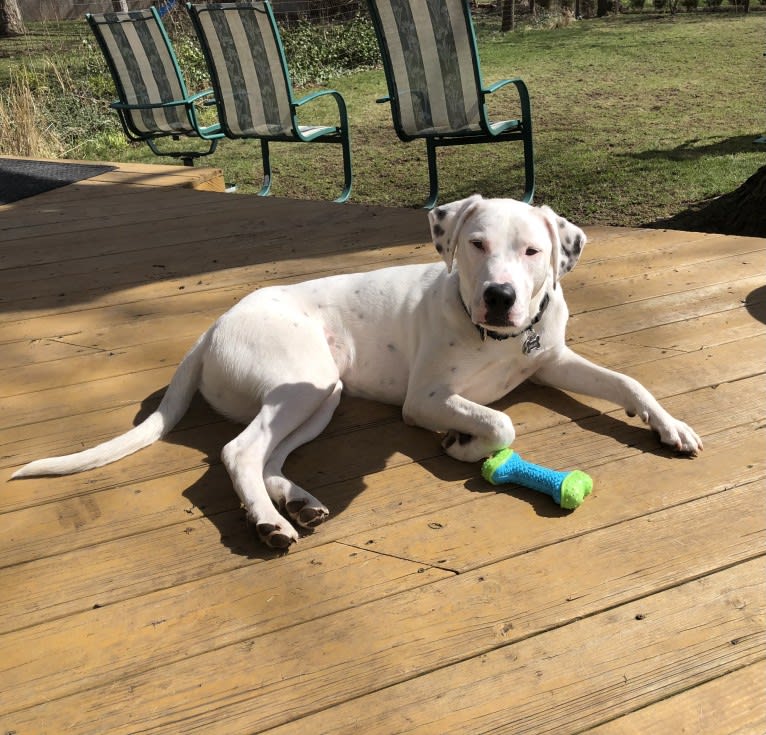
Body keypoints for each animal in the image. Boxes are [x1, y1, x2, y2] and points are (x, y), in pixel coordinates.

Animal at [10, 198, 704, 548]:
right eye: (475, 243)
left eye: (533, 251)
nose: (500, 296)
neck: (499, 337)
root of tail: (211, 327)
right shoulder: (425, 398)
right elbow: (502, 424)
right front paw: (462, 445)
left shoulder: (552, 359)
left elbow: (627, 383)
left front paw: (670, 426)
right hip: (305, 380)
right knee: (238, 450)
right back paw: (269, 524)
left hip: (323, 396)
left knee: (266, 454)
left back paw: (295, 502)